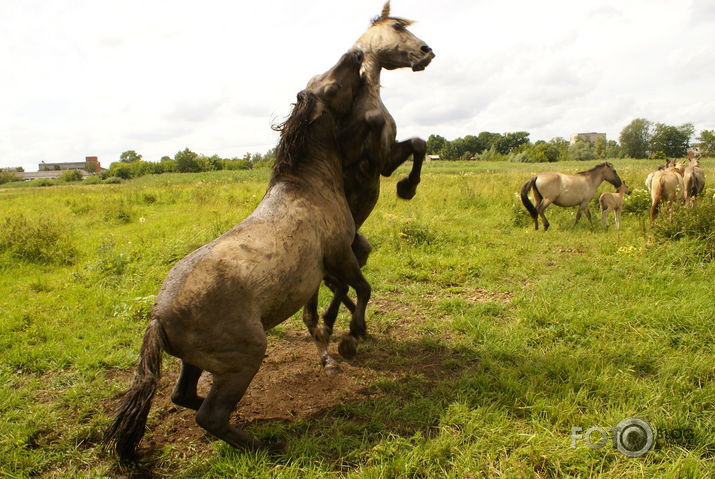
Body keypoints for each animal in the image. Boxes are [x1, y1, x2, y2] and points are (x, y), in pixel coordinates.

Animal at [105, 50, 370, 464]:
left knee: (184, 397)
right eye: (332, 84)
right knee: (209, 415)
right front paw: (353, 335)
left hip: (197, 362)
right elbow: (362, 289)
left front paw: (335, 342)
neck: (308, 187)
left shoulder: (321, 271)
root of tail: (158, 318)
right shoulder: (340, 253)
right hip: (245, 357)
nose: (356, 54)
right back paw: (266, 445)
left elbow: (333, 300)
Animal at [304, 0, 436, 368]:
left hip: (358, 250)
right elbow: (375, 125)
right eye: (398, 27)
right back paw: (341, 329)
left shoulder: (388, 161)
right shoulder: (348, 154)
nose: (427, 53)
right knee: (331, 288)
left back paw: (346, 326)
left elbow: (417, 144)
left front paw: (408, 188)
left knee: (341, 286)